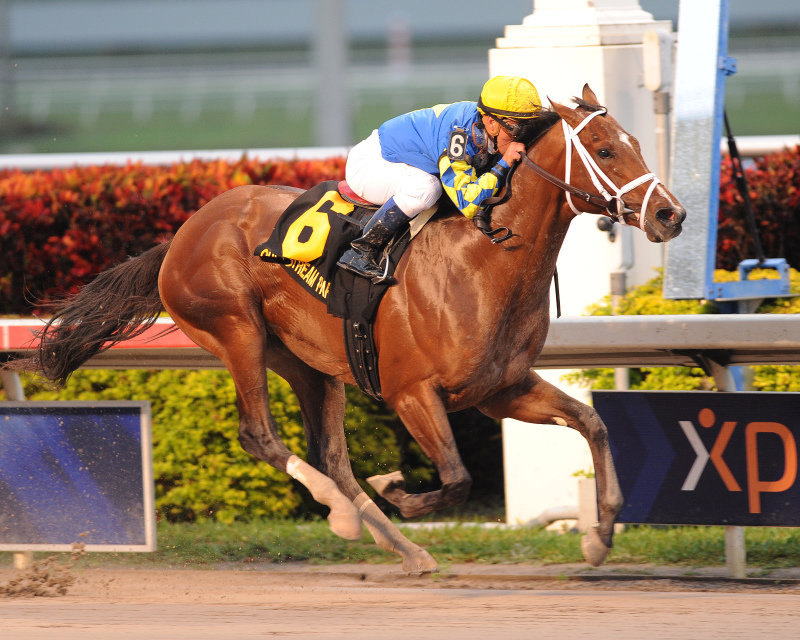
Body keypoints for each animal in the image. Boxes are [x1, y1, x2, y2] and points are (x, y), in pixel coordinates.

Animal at [7, 85, 688, 568]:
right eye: (605, 150)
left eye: (635, 142)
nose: (671, 214)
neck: (483, 261)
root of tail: (181, 235)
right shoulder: (413, 393)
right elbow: (457, 478)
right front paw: (399, 487)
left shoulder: (501, 389)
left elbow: (593, 423)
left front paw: (599, 536)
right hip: (236, 331)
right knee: (261, 436)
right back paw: (342, 515)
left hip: (307, 361)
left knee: (332, 455)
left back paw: (405, 549)